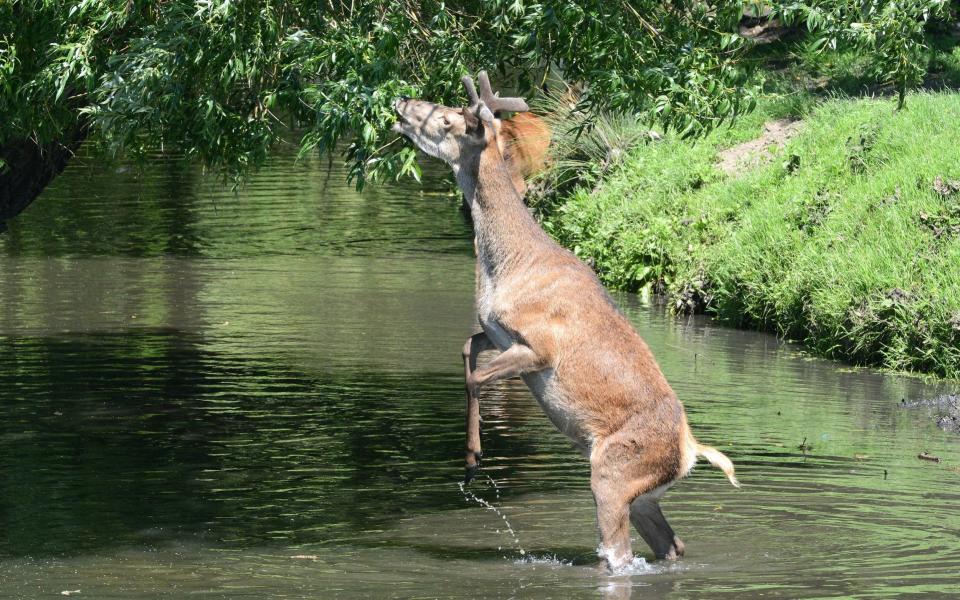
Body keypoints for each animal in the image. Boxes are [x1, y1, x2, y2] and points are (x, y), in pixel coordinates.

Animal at [394, 71, 740, 572]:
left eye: (447, 119)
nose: (401, 101)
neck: (509, 264)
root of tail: (690, 450)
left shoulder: (539, 346)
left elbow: (476, 377)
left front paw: (473, 458)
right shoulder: (497, 332)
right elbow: (467, 346)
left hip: (612, 474)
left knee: (617, 553)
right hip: (643, 494)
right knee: (672, 545)